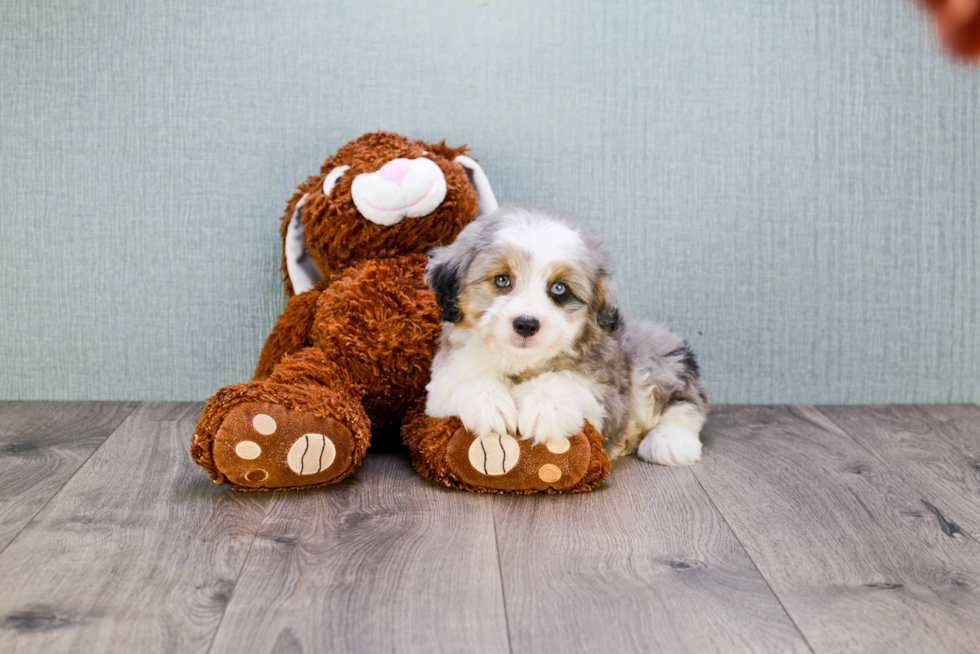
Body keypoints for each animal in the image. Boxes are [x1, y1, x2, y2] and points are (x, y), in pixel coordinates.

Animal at [424, 205, 708, 466]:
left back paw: (670, 441)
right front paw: (489, 404)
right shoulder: (438, 391)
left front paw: (544, 407)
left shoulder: (606, 397)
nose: (526, 324)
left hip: (650, 357)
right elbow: (466, 382)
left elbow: (564, 381)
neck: (520, 363)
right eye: (502, 280)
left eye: (559, 289)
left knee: (684, 404)